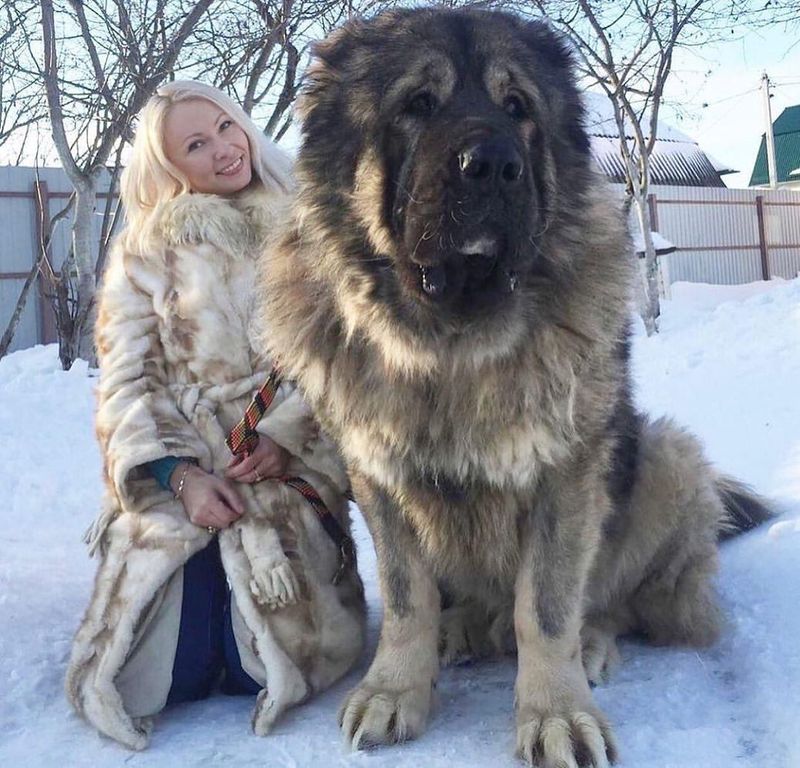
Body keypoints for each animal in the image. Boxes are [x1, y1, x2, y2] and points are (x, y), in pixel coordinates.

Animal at [262, 7, 768, 768]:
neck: (452, 345)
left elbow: (547, 607)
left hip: (665, 454)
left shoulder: (566, 472)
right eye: (418, 103)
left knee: (616, 603)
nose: (496, 164)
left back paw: (592, 641)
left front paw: (556, 711)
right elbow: (406, 599)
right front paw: (394, 689)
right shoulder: (377, 472)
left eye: (518, 107)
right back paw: (462, 629)